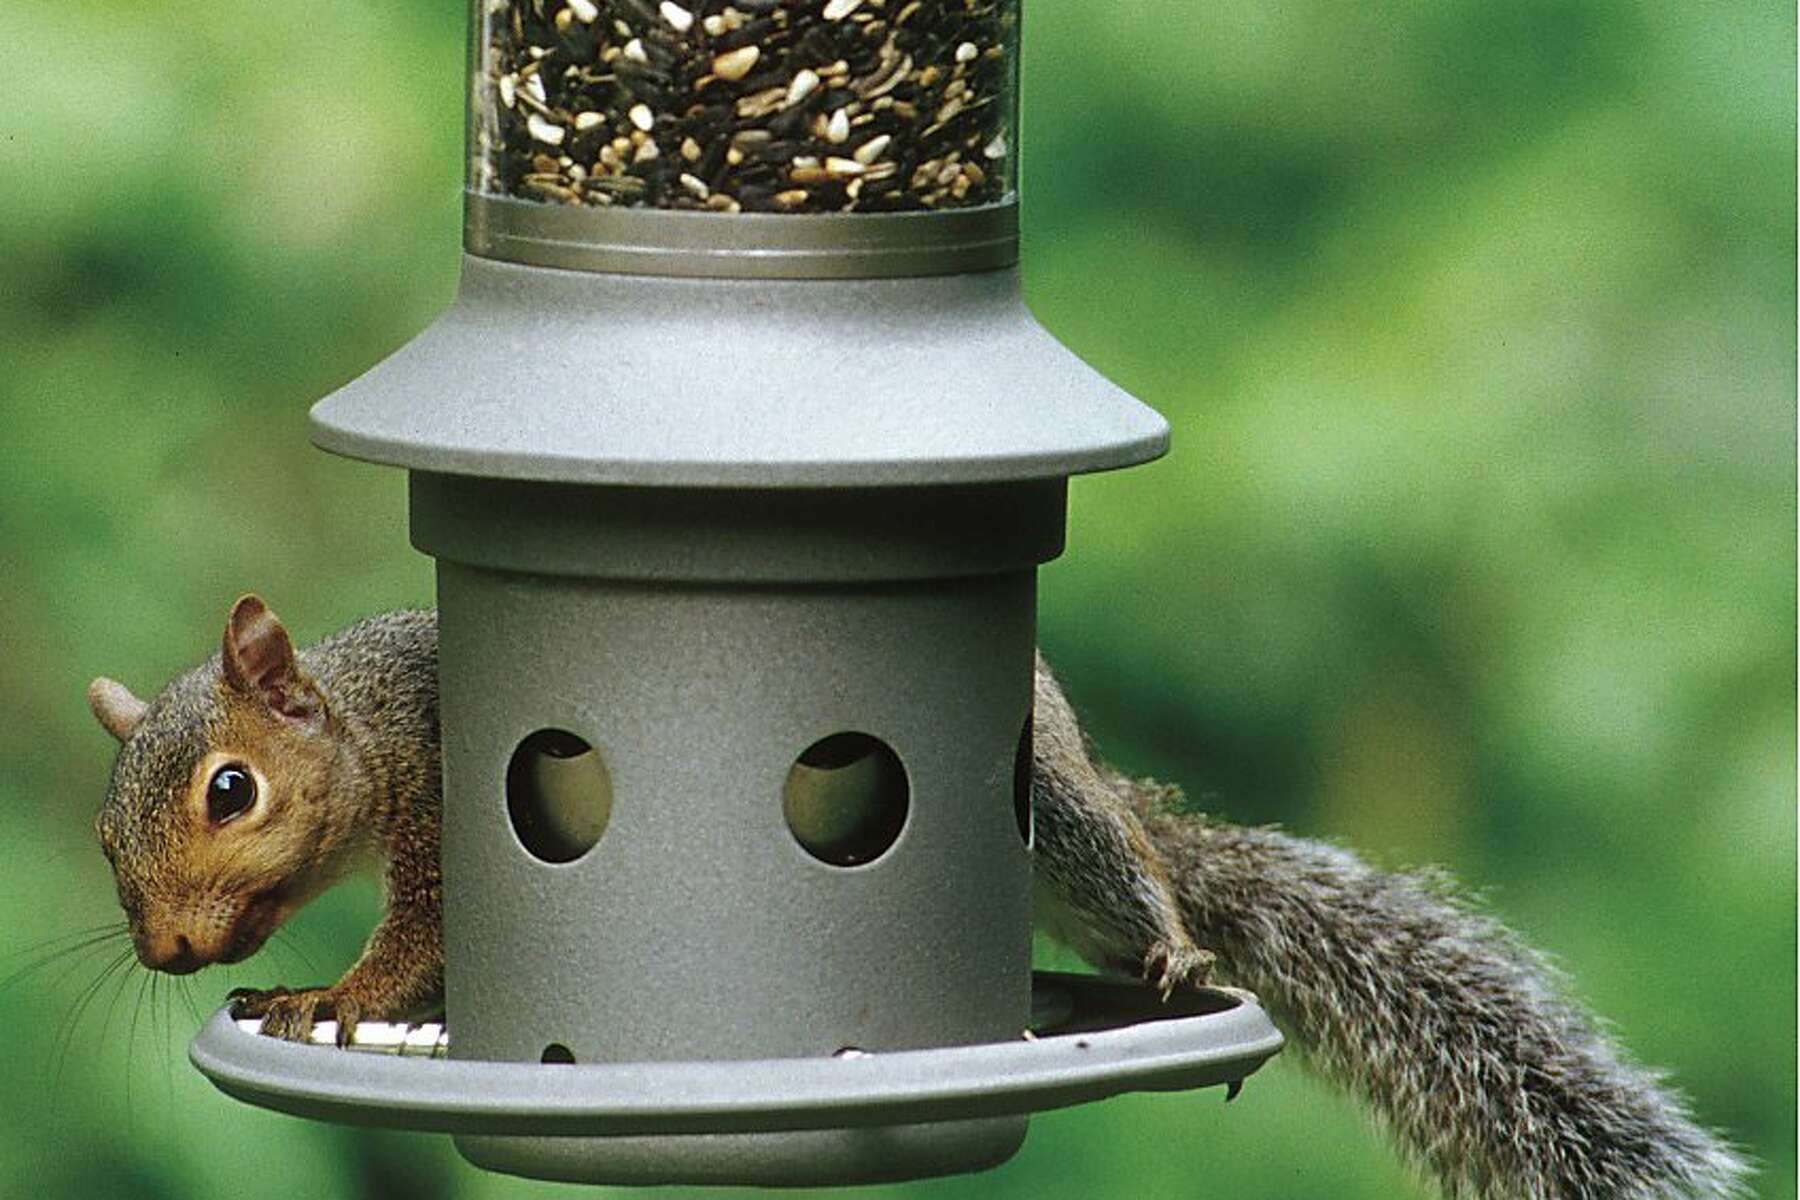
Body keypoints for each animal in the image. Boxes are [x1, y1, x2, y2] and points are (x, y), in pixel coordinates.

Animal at [86, 595, 1749, 1200]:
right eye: (105, 837)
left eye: (229, 790)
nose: (166, 949)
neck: (370, 734)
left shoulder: (440, 815)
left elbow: (414, 952)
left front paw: (319, 997)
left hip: (1065, 824)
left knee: (1135, 868)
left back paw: (1172, 941)